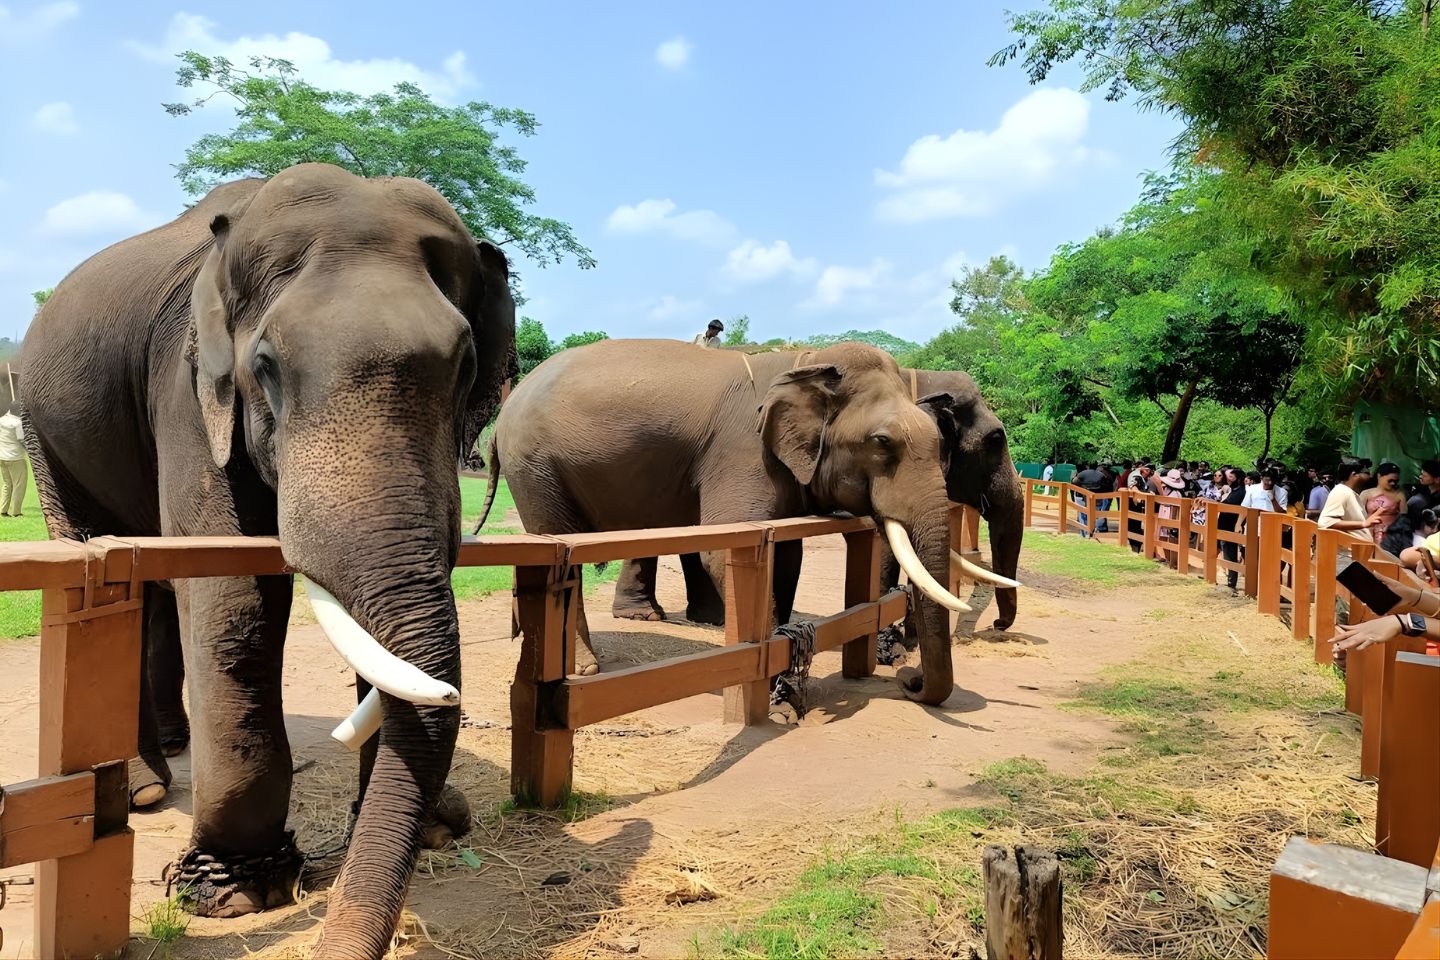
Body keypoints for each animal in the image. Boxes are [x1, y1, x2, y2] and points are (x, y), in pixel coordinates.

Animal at [22, 163, 514, 958]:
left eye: (467, 366)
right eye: (266, 367)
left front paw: (437, 830)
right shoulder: (188, 389)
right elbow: (233, 601)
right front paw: (231, 894)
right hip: (43, 431)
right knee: (106, 558)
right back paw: (144, 789)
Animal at [482, 338, 974, 704]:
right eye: (882, 442)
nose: (909, 680)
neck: (807, 362)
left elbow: (786, 553)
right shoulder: (744, 452)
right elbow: (724, 551)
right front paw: (777, 689)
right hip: (535, 467)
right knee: (564, 554)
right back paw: (584, 669)